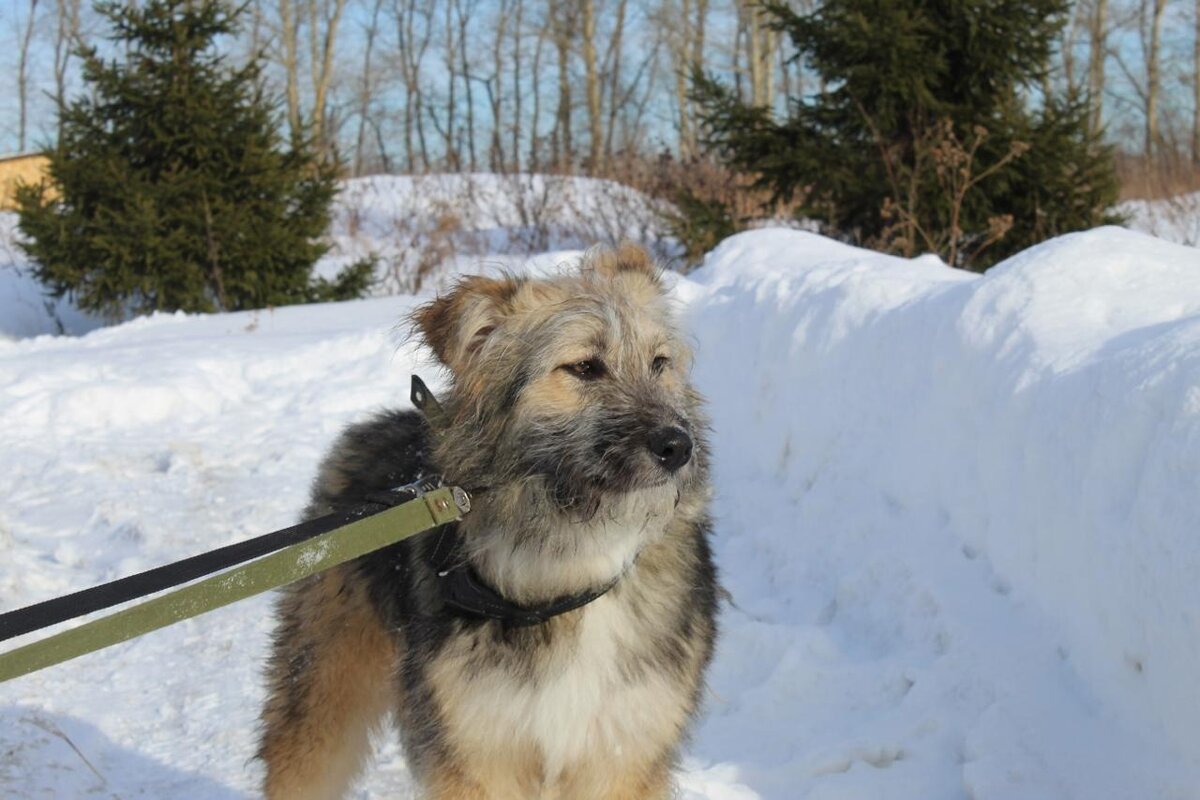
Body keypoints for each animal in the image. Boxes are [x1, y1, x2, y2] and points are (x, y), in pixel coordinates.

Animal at [258, 245, 715, 800]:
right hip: (321, 694)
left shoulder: (623, 751)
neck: (572, 561)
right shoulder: (476, 750)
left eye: (659, 363)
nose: (678, 446)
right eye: (585, 367)